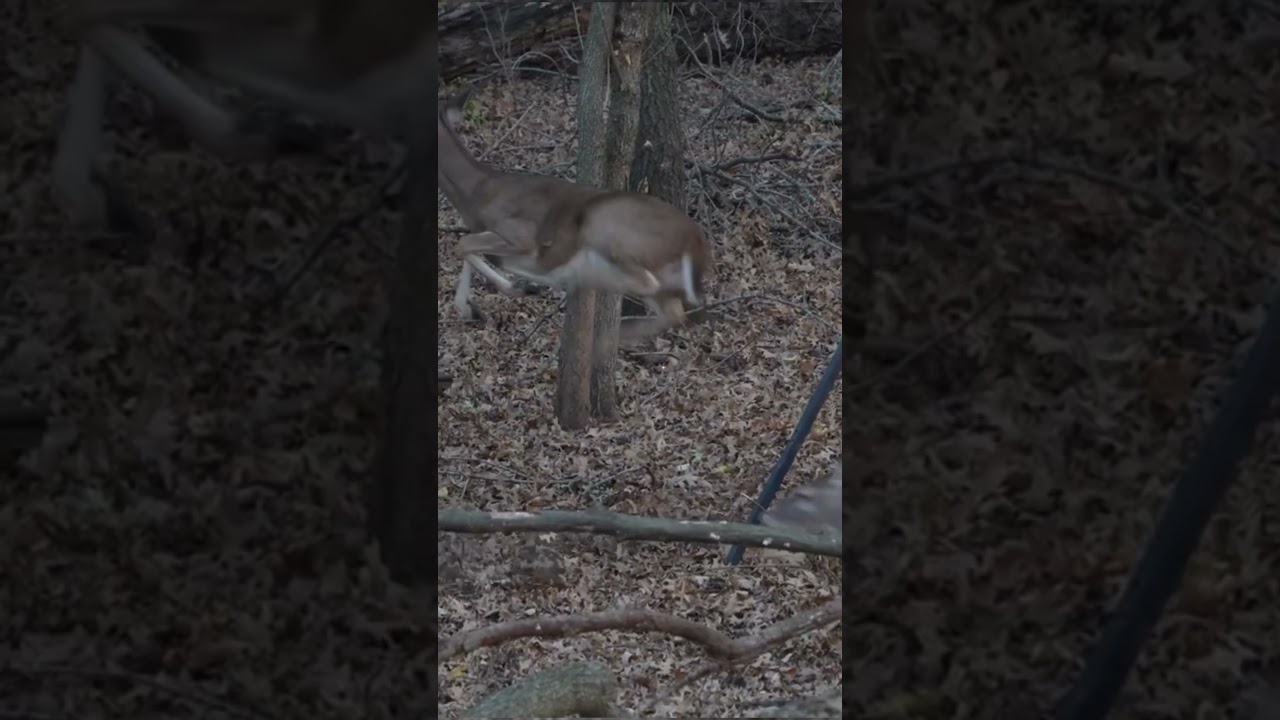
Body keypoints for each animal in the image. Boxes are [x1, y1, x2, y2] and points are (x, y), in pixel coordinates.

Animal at [437, 89, 715, 344]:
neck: (477, 193)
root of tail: (696, 238)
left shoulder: (520, 234)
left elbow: (465, 245)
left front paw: (517, 289)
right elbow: (474, 251)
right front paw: (473, 309)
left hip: (603, 223)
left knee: (648, 284)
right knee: (674, 313)